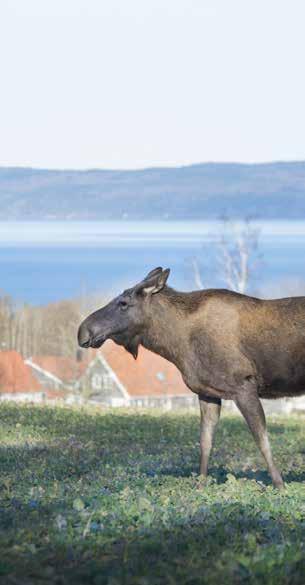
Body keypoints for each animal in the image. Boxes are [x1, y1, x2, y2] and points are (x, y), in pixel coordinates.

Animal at [76, 266, 304, 486]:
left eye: (123, 303)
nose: (82, 331)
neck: (177, 345)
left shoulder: (244, 387)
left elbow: (262, 441)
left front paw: (280, 485)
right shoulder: (208, 392)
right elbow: (205, 442)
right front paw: (201, 486)